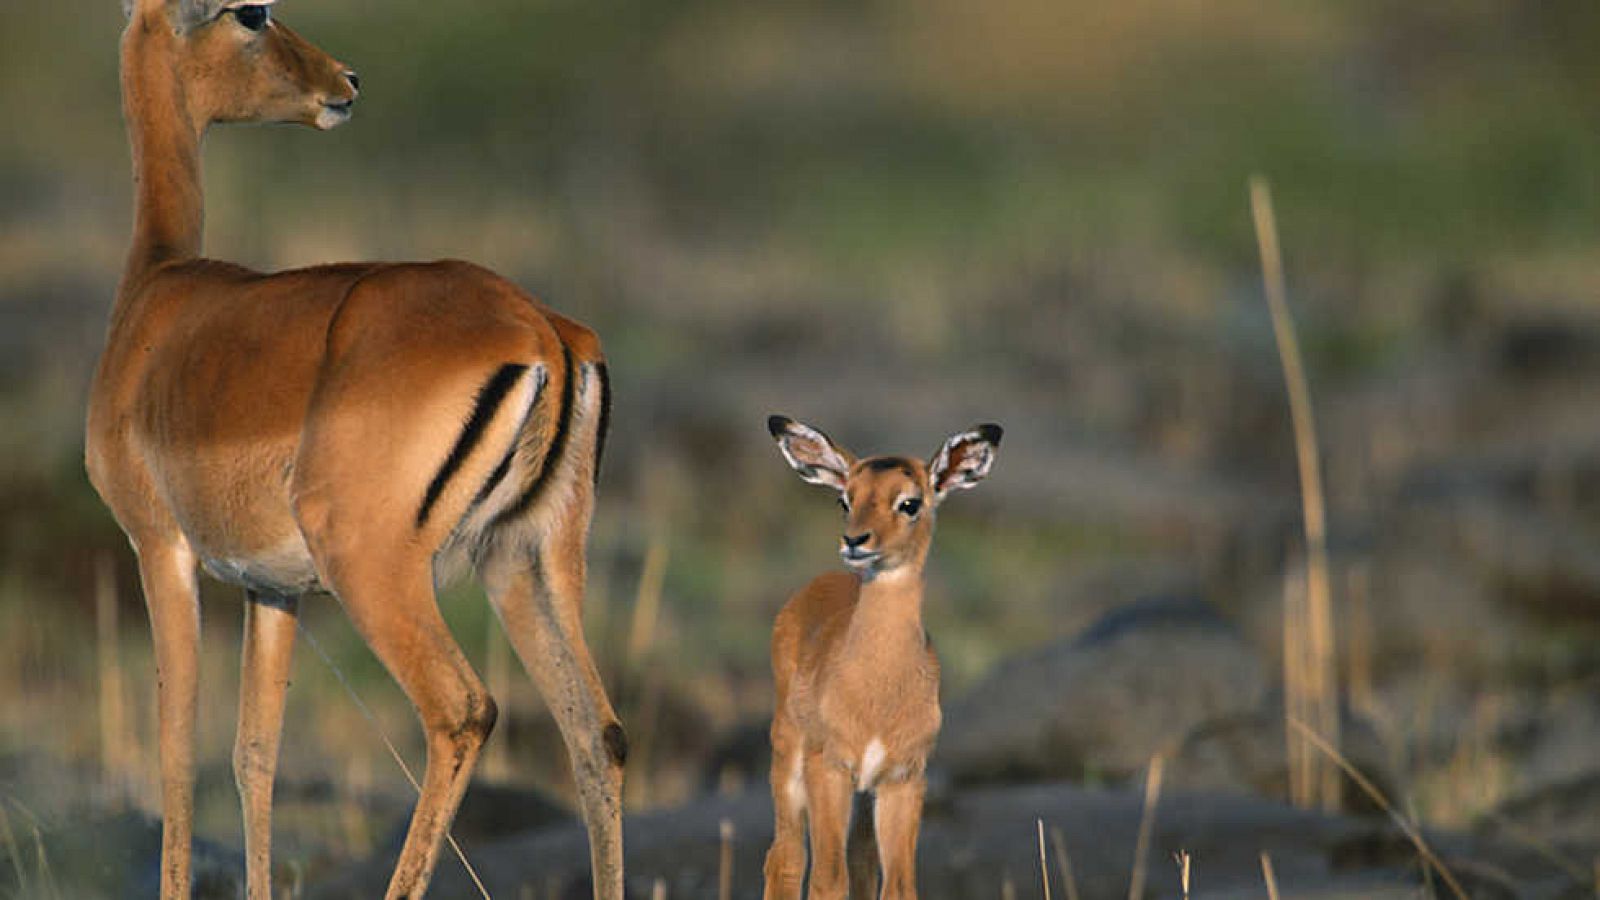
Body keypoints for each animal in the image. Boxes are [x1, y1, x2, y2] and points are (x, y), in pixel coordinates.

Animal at [761, 416, 998, 890]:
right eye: (844, 498)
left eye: (910, 503)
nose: (855, 541)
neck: (878, 691)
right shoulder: (829, 769)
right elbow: (827, 880)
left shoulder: (901, 780)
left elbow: (898, 885)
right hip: (789, 760)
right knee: (786, 858)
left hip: (863, 796)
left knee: (859, 862)